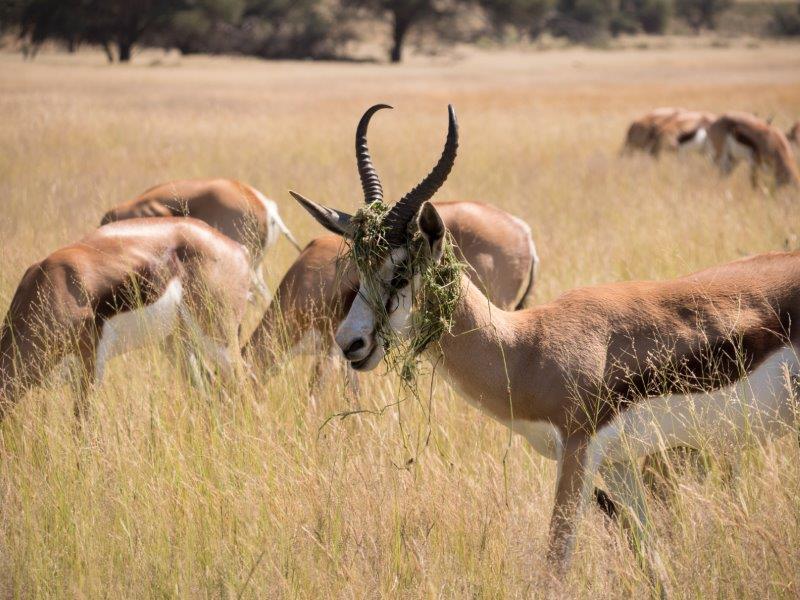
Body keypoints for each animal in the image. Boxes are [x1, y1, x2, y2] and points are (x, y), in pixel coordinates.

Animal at [0, 218, 250, 420]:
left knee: (243, 386)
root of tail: (238, 249)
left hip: (219, 341)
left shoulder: (91, 367)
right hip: (176, 344)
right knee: (212, 392)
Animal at [290, 103, 800, 596]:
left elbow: (556, 566)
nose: (351, 342)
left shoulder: (577, 453)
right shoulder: (617, 464)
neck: (525, 347)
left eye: (400, 271)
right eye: (357, 267)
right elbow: (653, 562)